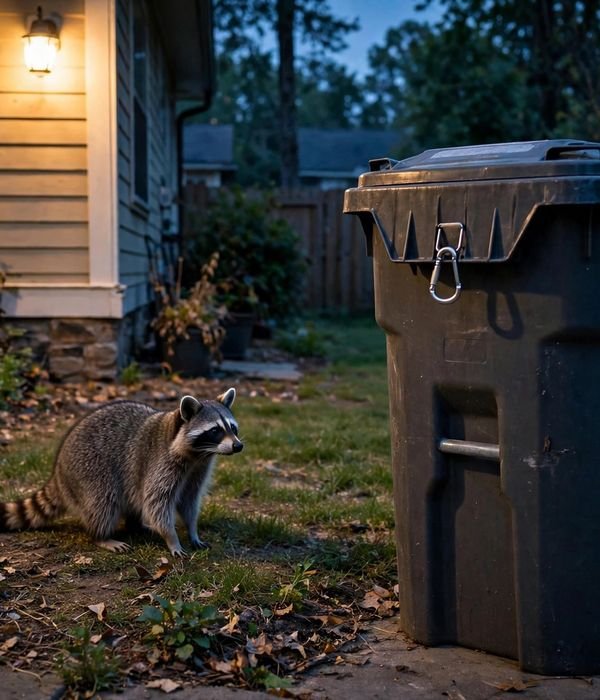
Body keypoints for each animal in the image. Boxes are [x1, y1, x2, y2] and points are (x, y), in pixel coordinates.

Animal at [0, 388, 243, 556]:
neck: (197, 455)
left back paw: (136, 525)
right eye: (215, 430)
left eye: (233, 428)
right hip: (88, 470)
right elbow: (157, 502)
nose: (238, 446)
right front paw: (171, 537)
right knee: (103, 501)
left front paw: (192, 530)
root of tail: (58, 472)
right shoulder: (162, 463)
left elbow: (188, 502)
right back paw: (100, 536)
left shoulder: (197, 471)